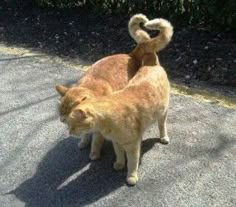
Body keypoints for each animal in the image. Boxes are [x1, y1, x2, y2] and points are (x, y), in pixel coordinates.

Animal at [55, 14, 173, 160]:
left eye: (68, 112)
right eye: (61, 111)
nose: (62, 120)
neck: (90, 87)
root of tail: (131, 54)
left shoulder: (99, 127)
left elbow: (96, 140)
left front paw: (94, 153)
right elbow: (86, 134)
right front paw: (84, 141)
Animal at [67, 52, 171, 185]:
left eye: (73, 125)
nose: (69, 132)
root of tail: (152, 64)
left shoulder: (132, 146)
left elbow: (132, 162)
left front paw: (131, 176)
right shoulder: (116, 142)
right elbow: (119, 154)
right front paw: (119, 164)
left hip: (163, 114)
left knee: (162, 126)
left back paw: (164, 137)